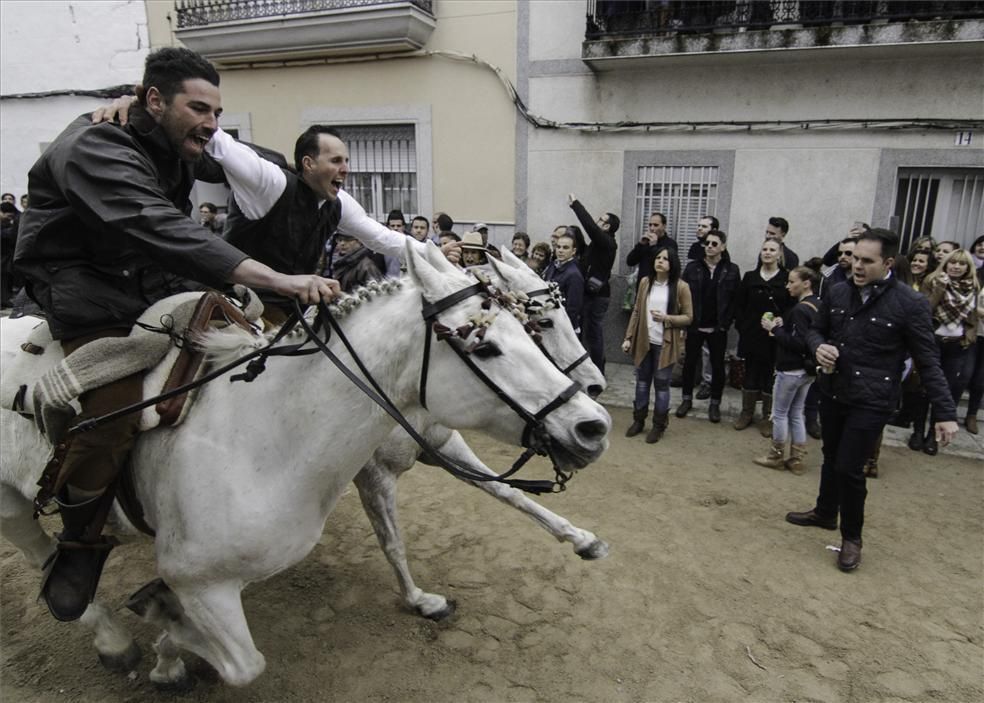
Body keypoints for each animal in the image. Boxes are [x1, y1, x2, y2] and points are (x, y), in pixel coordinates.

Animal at [354, 248, 612, 620]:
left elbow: (508, 491)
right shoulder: (375, 475)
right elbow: (391, 541)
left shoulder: (444, 446)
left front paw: (581, 538)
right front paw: (420, 600)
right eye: (544, 323)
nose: (595, 385)